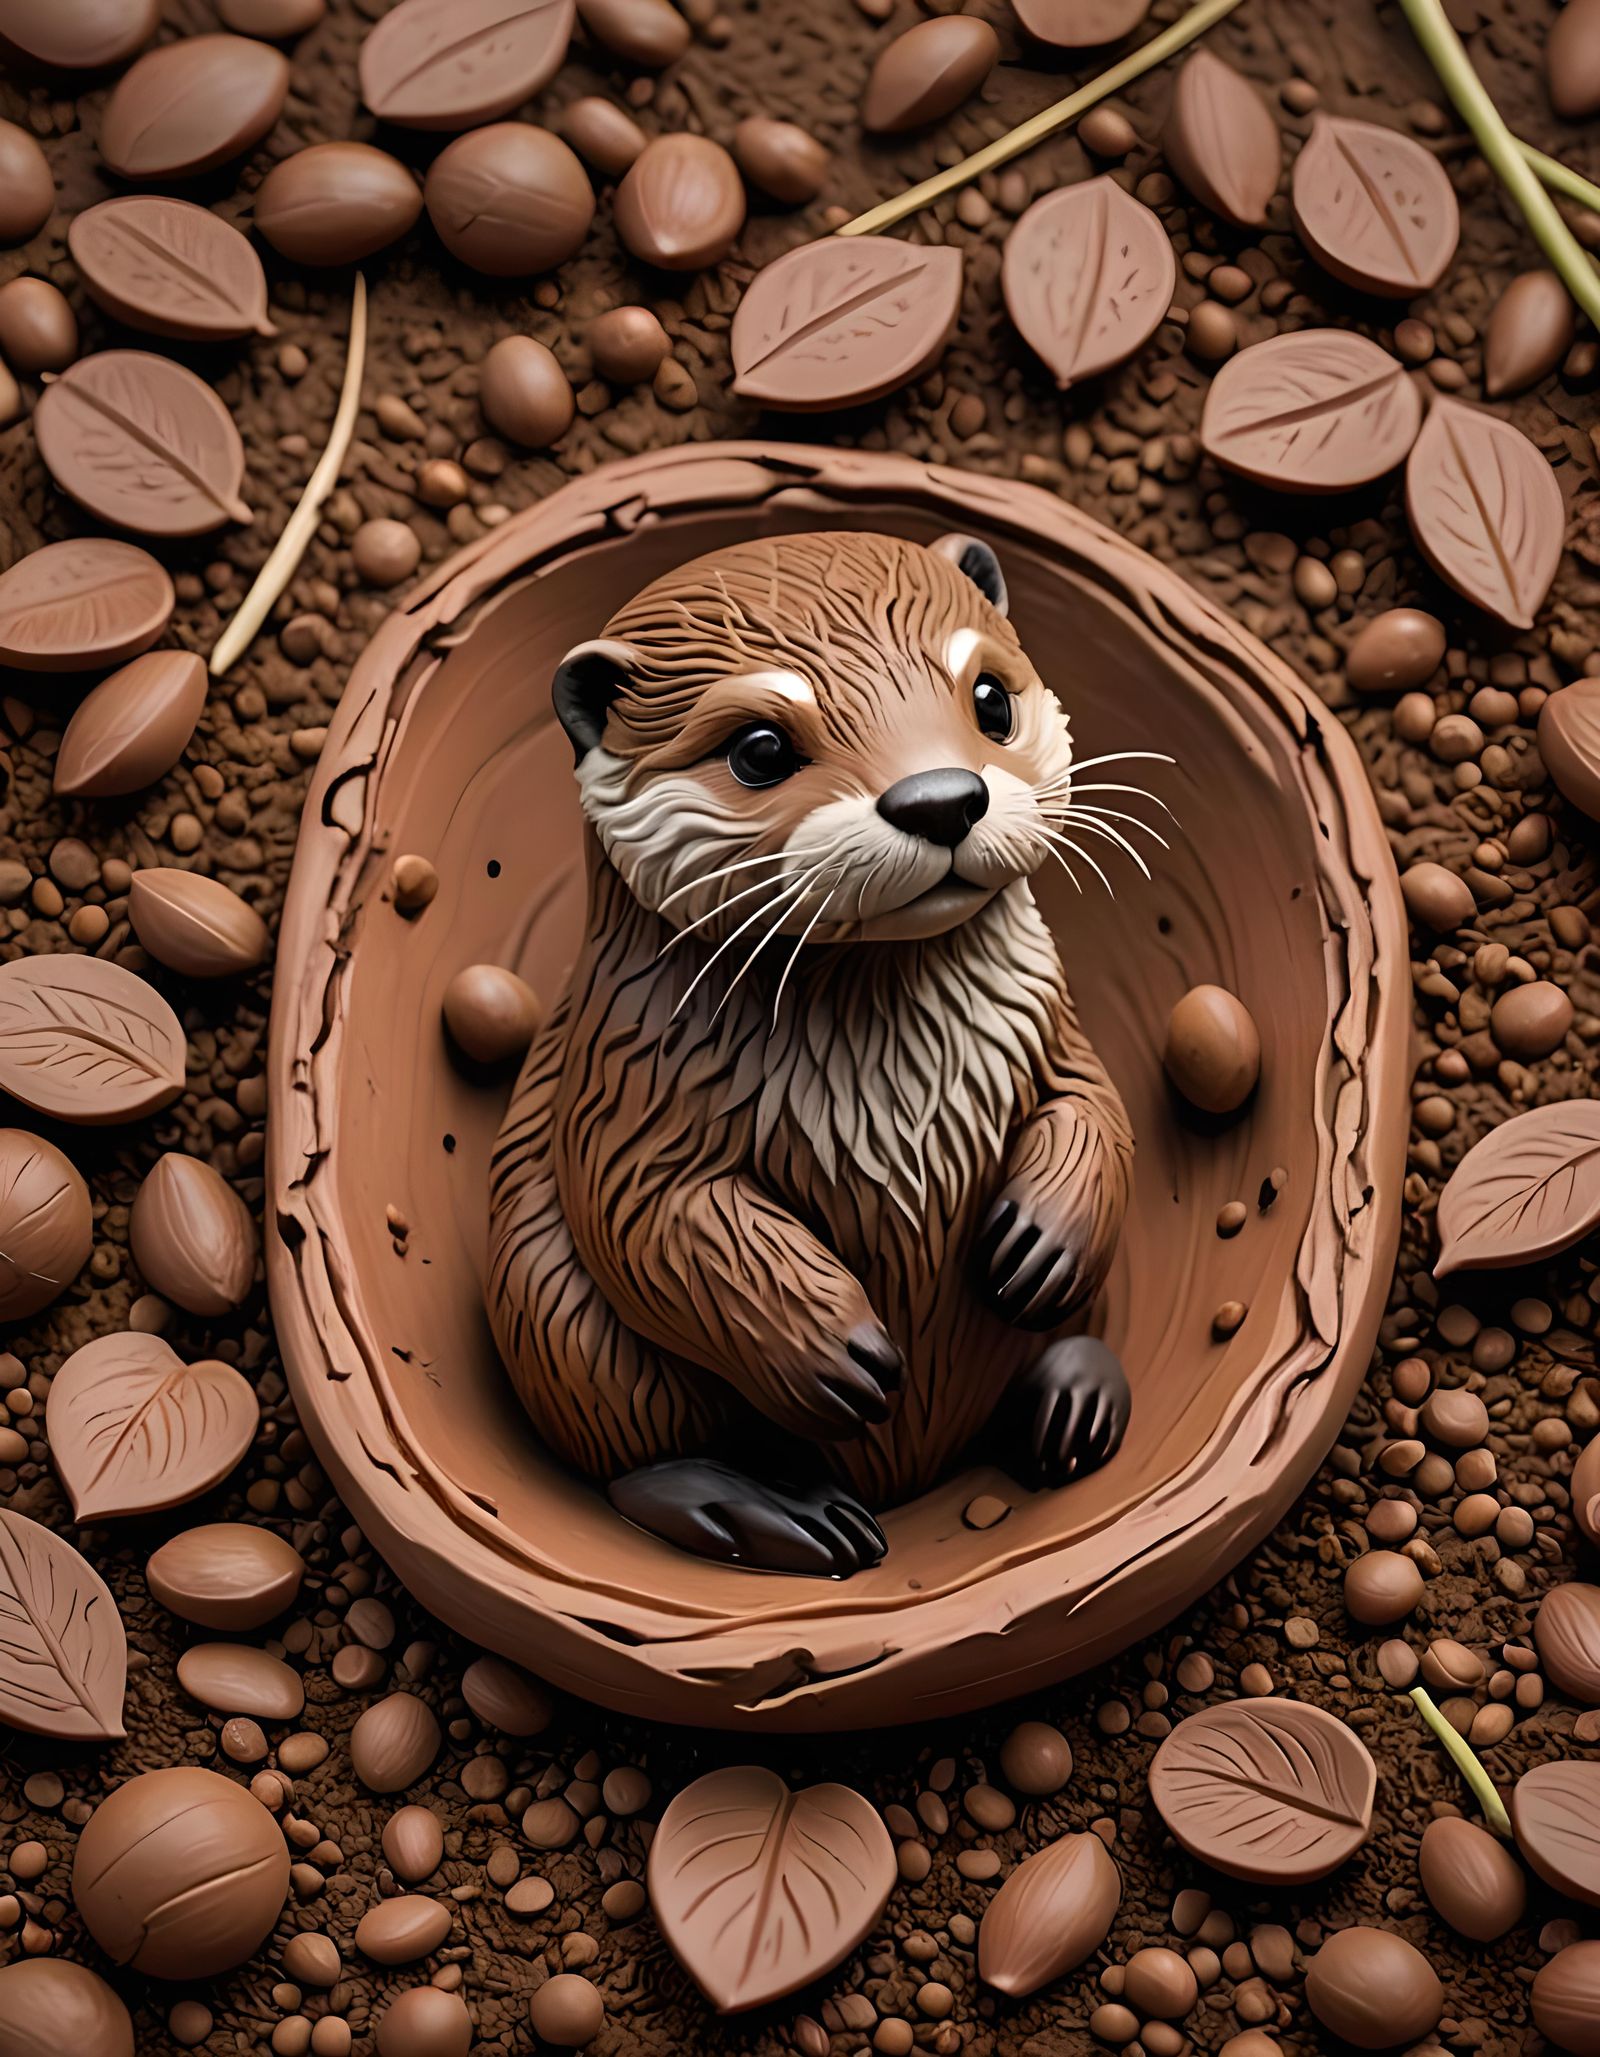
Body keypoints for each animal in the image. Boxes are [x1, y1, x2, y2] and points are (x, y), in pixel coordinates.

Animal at [486, 529, 1140, 1576]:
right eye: (760, 749)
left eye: (991, 699)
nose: (941, 799)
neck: (895, 1069)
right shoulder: (622, 1081)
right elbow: (655, 1217)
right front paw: (833, 1349)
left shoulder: (1050, 1022)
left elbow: (1096, 1111)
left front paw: (1041, 1241)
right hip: (558, 1317)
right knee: (631, 1461)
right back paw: (771, 1509)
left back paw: (1071, 1397)